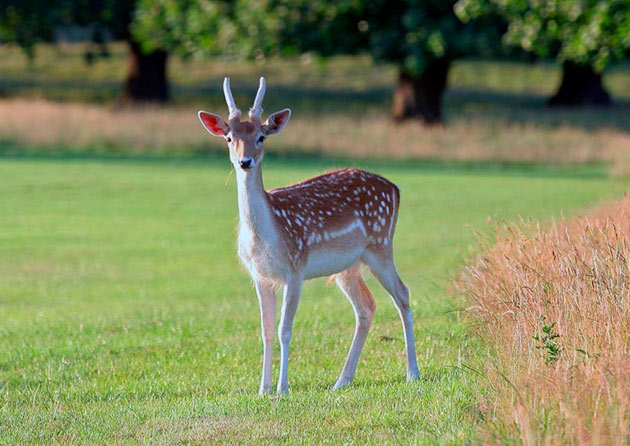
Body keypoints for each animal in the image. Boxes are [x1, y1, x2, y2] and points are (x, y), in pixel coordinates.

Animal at [200, 77, 422, 394]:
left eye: (261, 137)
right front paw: (263, 389)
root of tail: (395, 188)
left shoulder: (295, 268)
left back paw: (412, 372)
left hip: (381, 245)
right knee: (366, 306)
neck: (267, 237)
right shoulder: (260, 275)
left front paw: (282, 388)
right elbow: (266, 330)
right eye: (229, 138)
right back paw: (343, 379)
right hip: (348, 266)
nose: (245, 162)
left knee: (402, 294)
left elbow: (285, 330)